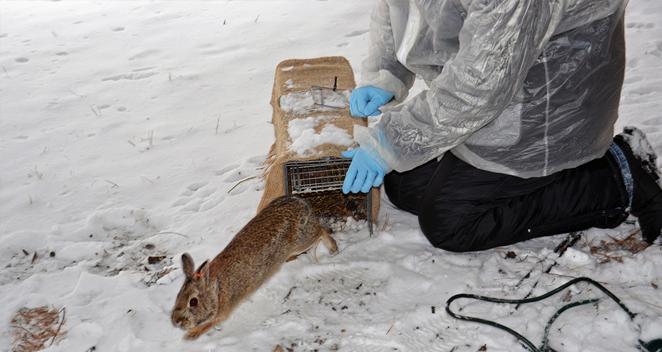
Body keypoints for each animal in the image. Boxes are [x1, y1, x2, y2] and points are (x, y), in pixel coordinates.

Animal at [172, 194, 338, 340]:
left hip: (302, 241)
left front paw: (190, 335)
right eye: (178, 296)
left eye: (193, 302)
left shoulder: (223, 311)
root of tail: (300, 201)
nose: (176, 321)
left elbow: (208, 324)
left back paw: (333, 247)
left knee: (321, 230)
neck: (216, 291)